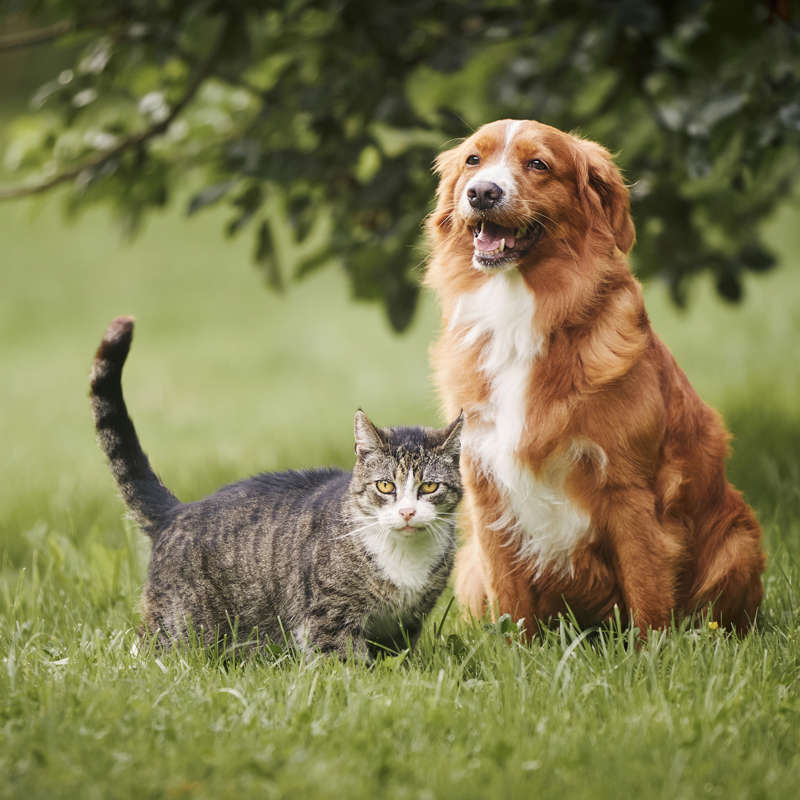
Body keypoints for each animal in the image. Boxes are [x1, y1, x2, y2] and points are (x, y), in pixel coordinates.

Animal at [89, 316, 462, 660]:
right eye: (385, 485)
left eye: (429, 486)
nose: (407, 512)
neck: (404, 560)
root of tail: (177, 511)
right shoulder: (329, 617)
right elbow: (343, 663)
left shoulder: (405, 623)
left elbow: (394, 659)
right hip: (180, 626)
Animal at [428, 119, 764, 636]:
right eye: (473, 160)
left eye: (538, 164)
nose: (482, 192)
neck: (519, 312)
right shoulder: (487, 489)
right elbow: (510, 603)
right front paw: (514, 652)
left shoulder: (629, 489)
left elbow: (647, 592)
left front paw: (651, 654)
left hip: (739, 542)